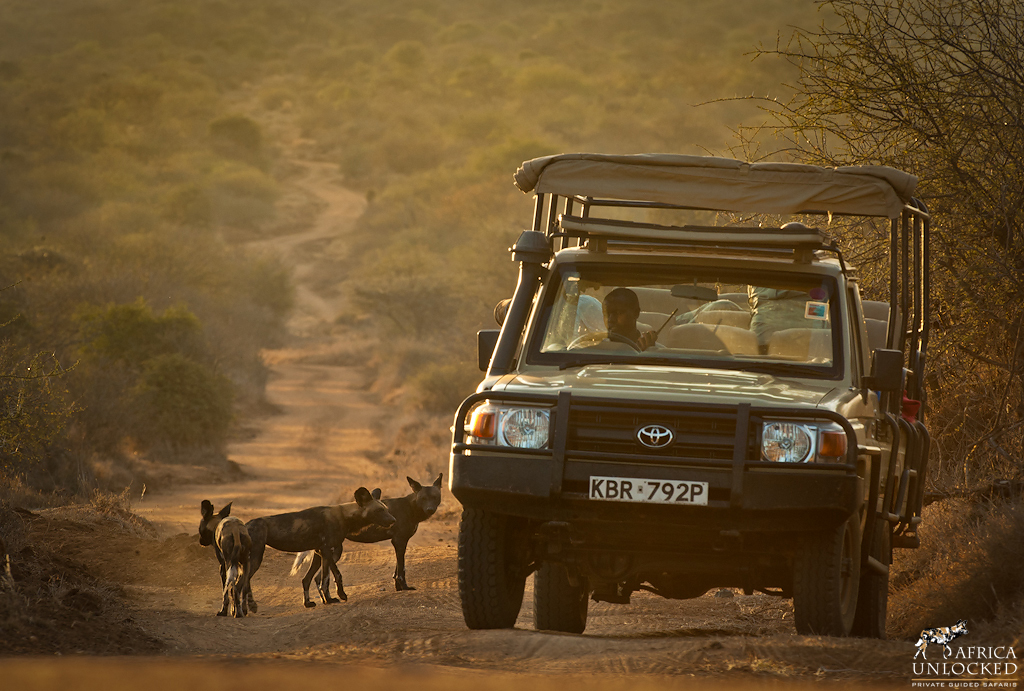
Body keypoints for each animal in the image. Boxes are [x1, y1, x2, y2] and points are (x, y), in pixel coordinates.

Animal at [243, 489, 395, 610]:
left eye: (387, 509)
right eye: (379, 510)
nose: (393, 520)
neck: (345, 516)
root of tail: (246, 524)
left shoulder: (320, 551)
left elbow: (317, 578)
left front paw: (315, 601)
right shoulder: (327, 550)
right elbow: (328, 578)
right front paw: (332, 598)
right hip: (257, 557)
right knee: (243, 581)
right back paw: (247, 608)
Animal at [292, 474, 444, 593]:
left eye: (435, 497)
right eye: (423, 499)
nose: (430, 509)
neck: (411, 508)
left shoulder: (399, 542)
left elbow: (397, 571)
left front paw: (398, 588)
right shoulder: (399, 541)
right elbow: (401, 570)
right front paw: (405, 587)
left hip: (323, 554)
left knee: (311, 578)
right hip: (335, 552)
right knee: (318, 578)